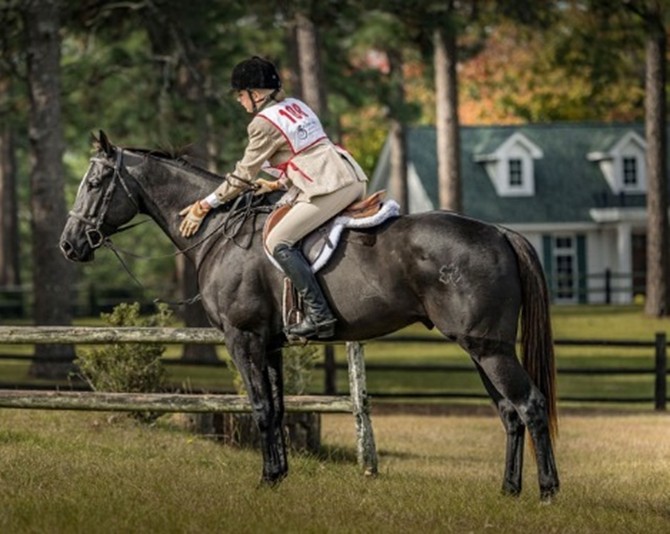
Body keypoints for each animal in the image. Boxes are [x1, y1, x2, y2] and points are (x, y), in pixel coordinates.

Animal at [60, 131, 559, 500]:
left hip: (489, 349)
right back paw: (508, 491)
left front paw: (265, 480)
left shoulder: (243, 338)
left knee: (530, 406)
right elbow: (278, 408)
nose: (69, 244)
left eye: (93, 184)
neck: (218, 233)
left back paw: (547, 492)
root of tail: (498, 231)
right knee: (510, 413)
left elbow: (261, 408)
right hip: (481, 349)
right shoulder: (270, 344)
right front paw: (279, 475)